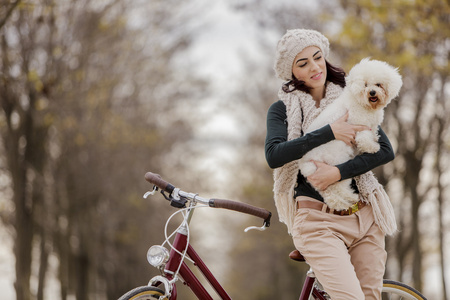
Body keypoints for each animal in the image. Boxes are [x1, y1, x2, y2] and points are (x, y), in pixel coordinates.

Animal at [300, 57, 402, 210]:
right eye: (365, 85)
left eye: (378, 84)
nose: (372, 92)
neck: (362, 103)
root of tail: (305, 164)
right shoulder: (359, 126)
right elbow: (364, 140)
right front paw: (373, 147)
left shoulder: (371, 126)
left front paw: (375, 140)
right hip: (336, 162)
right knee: (337, 187)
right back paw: (350, 197)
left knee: (329, 193)